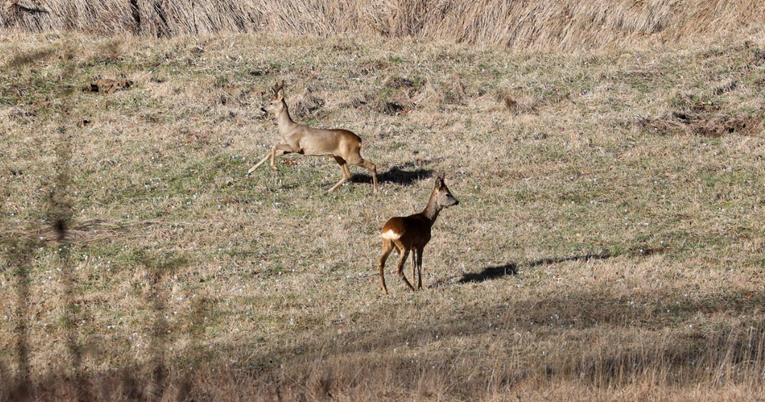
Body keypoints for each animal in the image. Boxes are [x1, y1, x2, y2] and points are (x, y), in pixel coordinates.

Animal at [248, 80, 380, 193]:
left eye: (271, 102)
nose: (262, 108)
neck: (288, 129)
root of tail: (359, 140)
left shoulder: (295, 146)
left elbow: (274, 146)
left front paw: (274, 167)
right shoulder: (291, 149)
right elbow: (270, 153)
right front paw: (250, 171)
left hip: (351, 154)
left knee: (372, 165)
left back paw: (375, 190)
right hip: (339, 156)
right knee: (347, 174)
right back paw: (329, 190)